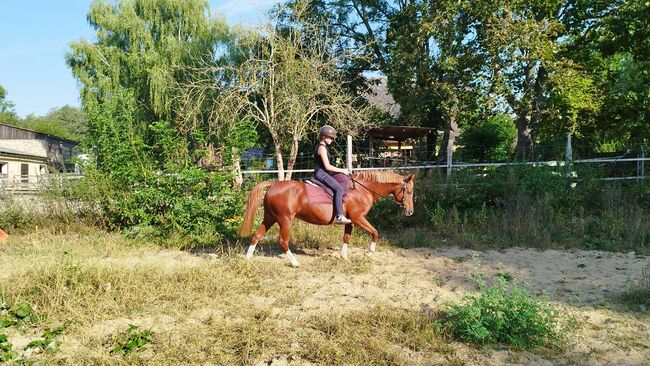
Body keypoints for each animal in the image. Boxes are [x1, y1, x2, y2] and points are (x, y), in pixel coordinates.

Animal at [239, 170, 416, 268]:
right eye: (409, 191)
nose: (410, 211)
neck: (362, 189)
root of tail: (273, 185)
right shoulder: (358, 218)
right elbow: (375, 232)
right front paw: (370, 252)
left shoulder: (350, 221)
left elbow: (346, 237)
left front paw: (344, 257)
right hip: (285, 220)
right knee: (283, 241)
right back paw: (295, 263)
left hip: (270, 218)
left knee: (257, 235)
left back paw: (247, 259)